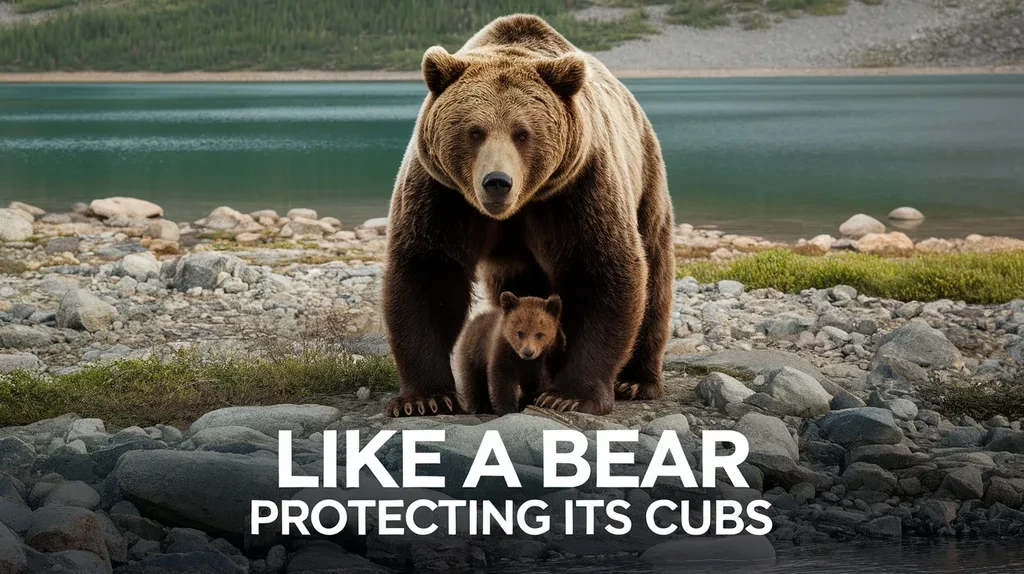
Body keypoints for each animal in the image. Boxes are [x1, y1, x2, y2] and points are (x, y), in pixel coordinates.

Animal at [382, 14, 674, 417]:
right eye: (475, 131)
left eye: (522, 132)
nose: (497, 182)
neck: (520, 205)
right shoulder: (443, 195)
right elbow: (428, 272)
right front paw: (425, 398)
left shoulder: (576, 190)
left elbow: (599, 271)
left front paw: (570, 394)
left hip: (646, 178)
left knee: (655, 274)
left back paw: (636, 381)